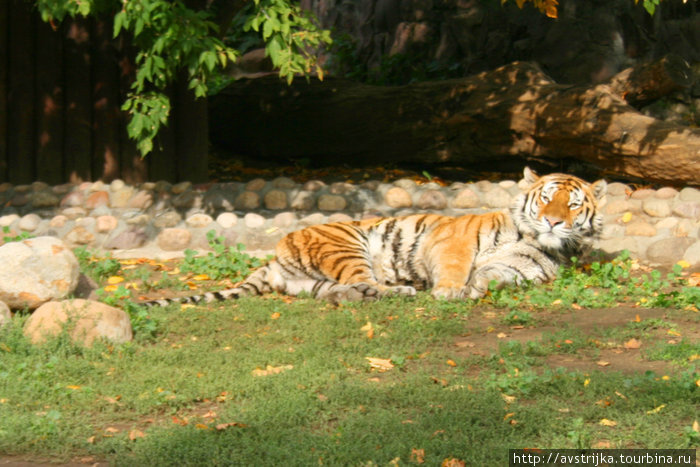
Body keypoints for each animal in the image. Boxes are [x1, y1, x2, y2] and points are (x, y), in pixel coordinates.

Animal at [141, 167, 600, 308]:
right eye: (546, 199)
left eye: (573, 204)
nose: (553, 222)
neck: (537, 241)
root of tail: (273, 257)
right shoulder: (450, 241)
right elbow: (455, 267)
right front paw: (450, 291)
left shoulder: (523, 267)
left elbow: (497, 275)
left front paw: (476, 288)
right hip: (347, 248)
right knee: (366, 284)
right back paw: (404, 291)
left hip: (314, 282)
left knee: (345, 291)